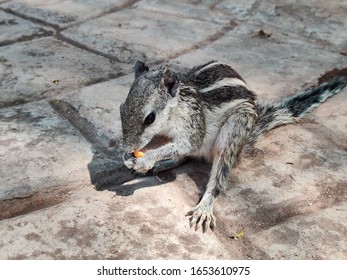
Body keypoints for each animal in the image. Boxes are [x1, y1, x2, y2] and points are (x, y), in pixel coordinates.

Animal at [120, 60, 347, 232]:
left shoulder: (193, 121)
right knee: (186, 156)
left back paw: (204, 207)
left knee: (218, 174)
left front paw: (145, 160)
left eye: (150, 118)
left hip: (234, 129)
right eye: (122, 109)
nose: (127, 147)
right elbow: (179, 148)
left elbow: (188, 144)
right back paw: (162, 165)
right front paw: (135, 159)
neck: (176, 106)